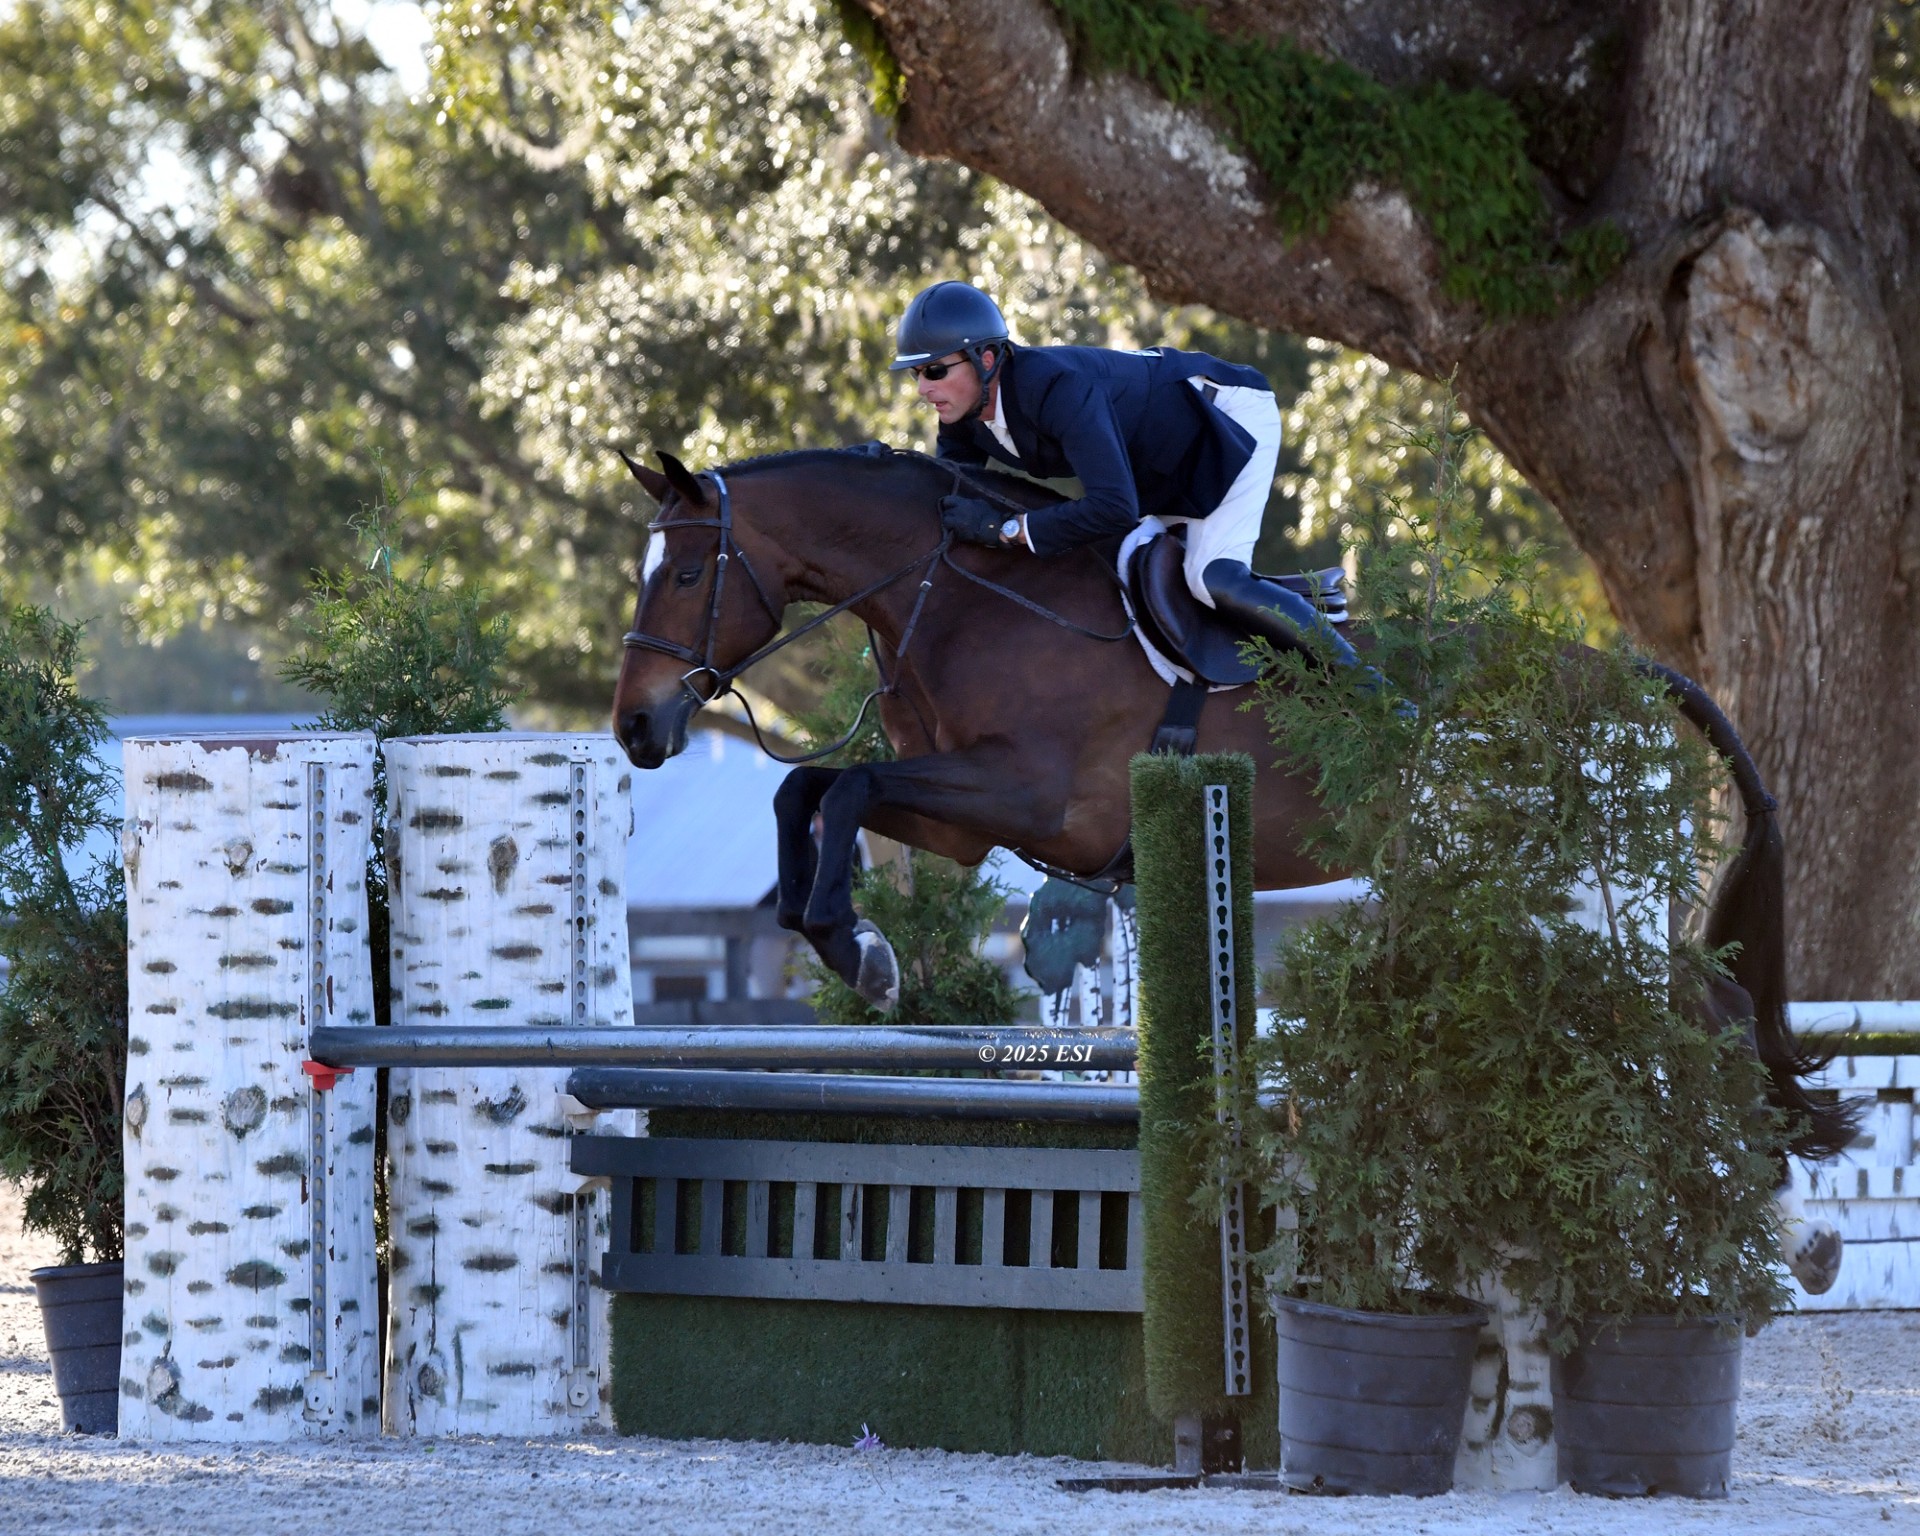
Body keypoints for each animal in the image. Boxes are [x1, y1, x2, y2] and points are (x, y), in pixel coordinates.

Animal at [614, 443, 1858, 1198]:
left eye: (684, 575)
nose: (634, 728)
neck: (966, 596)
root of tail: (1628, 675)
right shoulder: (967, 820)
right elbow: (810, 791)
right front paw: (844, 938)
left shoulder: (1033, 801)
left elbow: (850, 790)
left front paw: (856, 949)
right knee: (1701, 1014)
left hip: (1590, 900)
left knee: (1703, 1017)